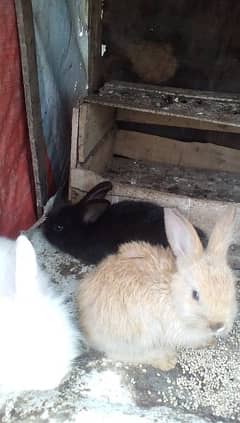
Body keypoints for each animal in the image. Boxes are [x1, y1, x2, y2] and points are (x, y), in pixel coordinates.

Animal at [76, 209, 236, 372]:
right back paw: (165, 360)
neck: (172, 294)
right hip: (139, 335)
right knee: (119, 353)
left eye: (232, 288)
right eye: (195, 294)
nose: (218, 325)